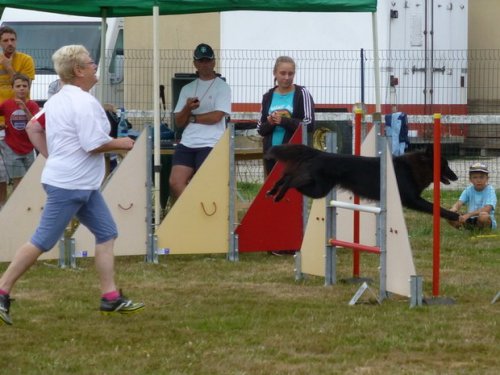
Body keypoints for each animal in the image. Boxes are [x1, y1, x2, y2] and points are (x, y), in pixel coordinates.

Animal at [268, 143, 458, 220]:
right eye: (445, 165)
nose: (456, 177)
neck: (412, 168)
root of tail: (320, 153)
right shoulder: (412, 200)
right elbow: (435, 208)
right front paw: (454, 216)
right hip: (319, 189)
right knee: (292, 180)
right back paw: (278, 194)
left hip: (317, 186)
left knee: (288, 176)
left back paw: (273, 190)